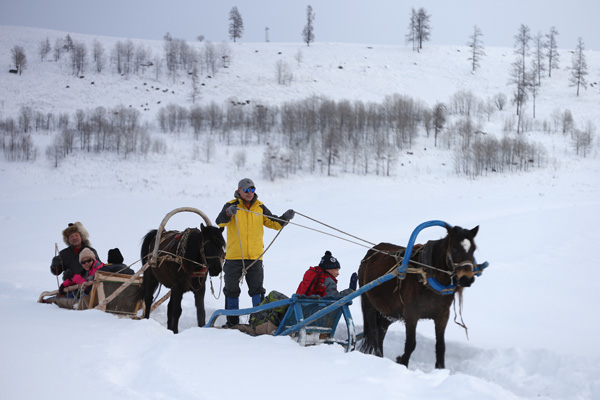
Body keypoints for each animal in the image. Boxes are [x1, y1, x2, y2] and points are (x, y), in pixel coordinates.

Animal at [358, 224, 479, 369]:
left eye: (473, 249)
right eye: (454, 249)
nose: (467, 279)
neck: (426, 276)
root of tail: (370, 253)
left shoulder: (443, 315)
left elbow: (440, 345)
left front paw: (440, 368)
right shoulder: (411, 315)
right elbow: (411, 344)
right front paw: (402, 362)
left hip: (391, 312)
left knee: (382, 328)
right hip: (368, 303)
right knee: (374, 332)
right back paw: (378, 356)